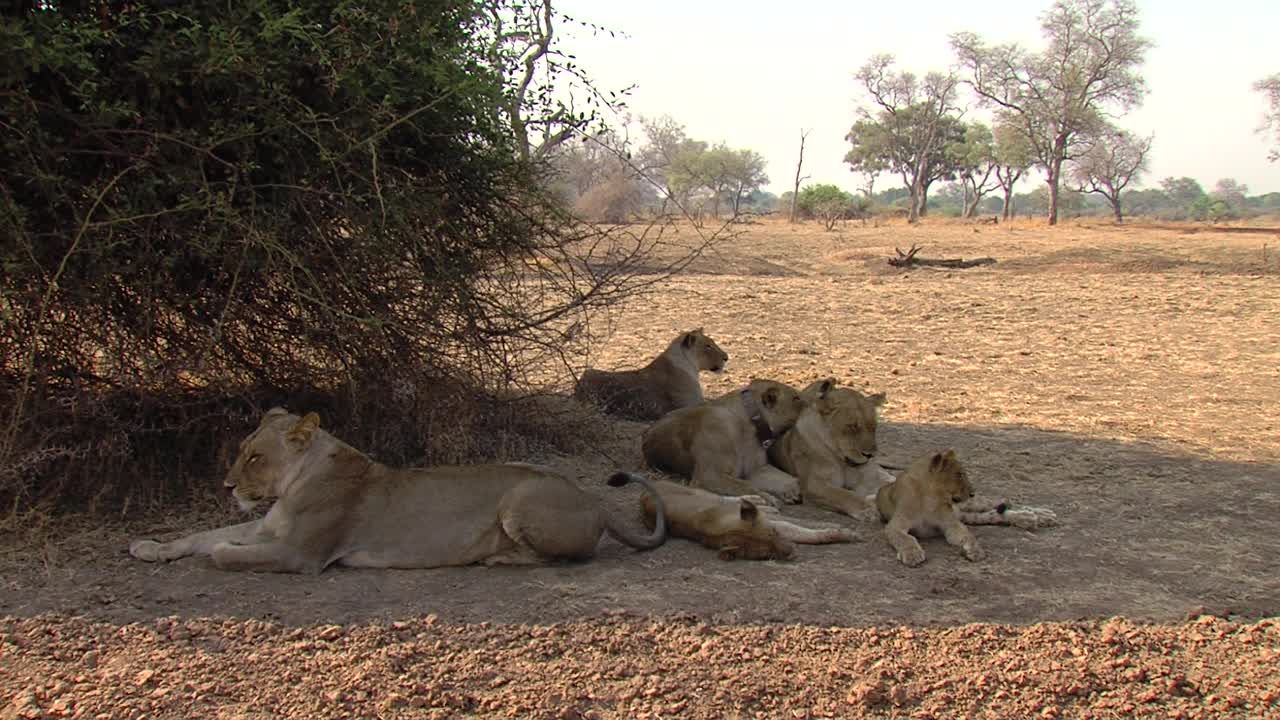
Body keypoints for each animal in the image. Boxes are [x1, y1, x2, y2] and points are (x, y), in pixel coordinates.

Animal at [129, 409, 670, 571]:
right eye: (243, 450)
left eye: (255, 457)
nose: (226, 485)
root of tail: (593, 498)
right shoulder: (267, 527)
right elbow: (200, 536)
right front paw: (149, 546)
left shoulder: (300, 554)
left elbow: (223, 551)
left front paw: (219, 550)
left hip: (519, 499)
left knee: (565, 557)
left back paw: (495, 557)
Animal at [637, 476, 855, 561]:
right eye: (766, 554)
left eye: (773, 533)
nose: (792, 553)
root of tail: (646, 491)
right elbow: (803, 531)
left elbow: (804, 528)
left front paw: (843, 531)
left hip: (697, 492)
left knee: (723, 495)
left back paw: (761, 501)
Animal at [640, 376, 808, 504]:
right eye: (796, 398)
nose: (809, 403)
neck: (750, 427)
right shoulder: (709, 475)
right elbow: (745, 485)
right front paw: (767, 498)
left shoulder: (756, 469)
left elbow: (783, 477)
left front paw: (792, 489)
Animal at [762, 376, 896, 515]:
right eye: (852, 426)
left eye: (873, 427)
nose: (870, 455)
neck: (841, 461)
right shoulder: (814, 484)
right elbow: (843, 494)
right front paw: (867, 510)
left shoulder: (867, 478)